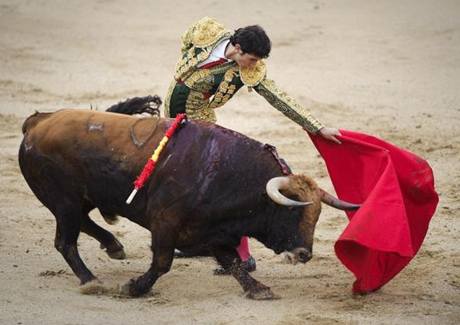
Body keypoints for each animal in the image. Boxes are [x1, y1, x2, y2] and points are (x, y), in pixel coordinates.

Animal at [18, 107, 360, 298]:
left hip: (81, 200)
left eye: (316, 217)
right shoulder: (165, 223)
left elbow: (234, 263)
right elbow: (162, 262)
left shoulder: (213, 232)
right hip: (64, 201)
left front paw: (258, 289)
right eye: (291, 213)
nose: (304, 254)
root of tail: (37, 122)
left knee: (84, 224)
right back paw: (91, 280)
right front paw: (135, 288)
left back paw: (114, 247)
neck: (229, 174)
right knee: (66, 241)